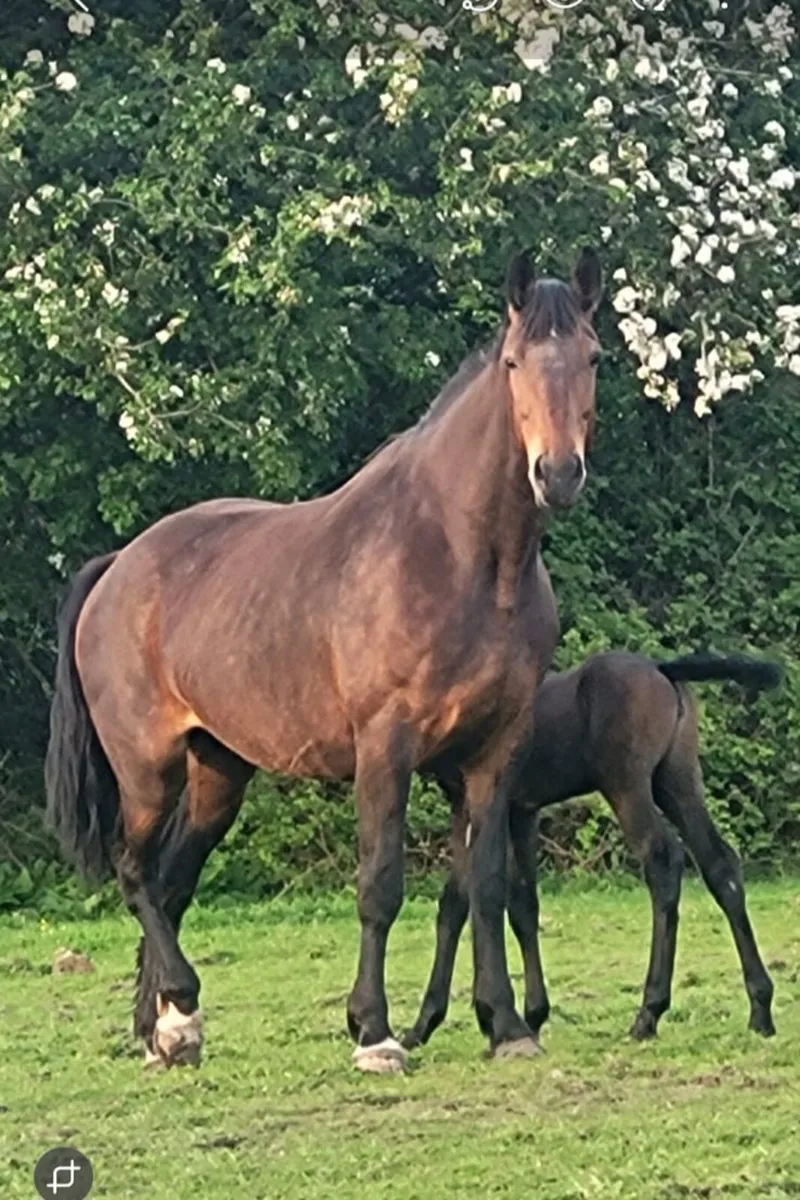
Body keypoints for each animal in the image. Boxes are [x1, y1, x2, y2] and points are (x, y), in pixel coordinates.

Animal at [44, 247, 604, 1074]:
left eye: (595, 358)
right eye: (513, 362)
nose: (558, 474)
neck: (462, 558)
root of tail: (119, 566)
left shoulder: (493, 751)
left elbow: (489, 886)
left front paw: (505, 1024)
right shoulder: (386, 746)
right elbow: (380, 885)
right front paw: (374, 1033)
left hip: (217, 774)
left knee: (173, 883)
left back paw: (166, 1030)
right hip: (147, 768)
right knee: (135, 871)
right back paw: (180, 1007)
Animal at [404, 649, 782, 1052]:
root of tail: (662, 669)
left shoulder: (474, 804)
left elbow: (463, 901)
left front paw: (435, 1023)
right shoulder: (522, 810)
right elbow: (514, 905)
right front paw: (530, 1016)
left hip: (627, 785)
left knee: (662, 859)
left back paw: (648, 1014)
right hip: (677, 780)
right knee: (720, 866)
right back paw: (760, 1010)